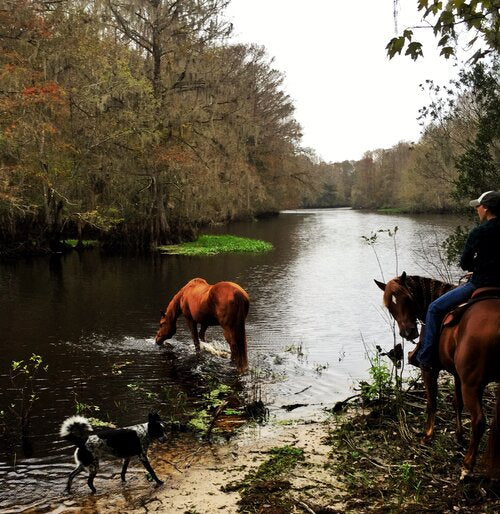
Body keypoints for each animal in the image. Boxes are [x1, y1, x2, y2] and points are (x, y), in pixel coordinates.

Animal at [376, 272, 500, 476]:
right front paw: (459, 435)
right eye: (389, 306)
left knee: (479, 421)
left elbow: (432, 403)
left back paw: (467, 466)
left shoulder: (429, 370)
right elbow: (457, 403)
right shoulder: (457, 375)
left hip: (472, 385)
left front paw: (427, 436)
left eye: (407, 299)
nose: (408, 332)